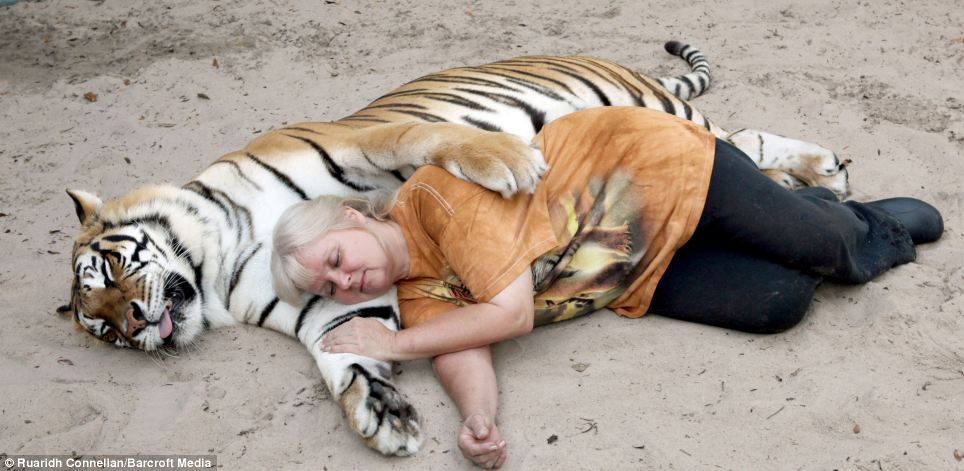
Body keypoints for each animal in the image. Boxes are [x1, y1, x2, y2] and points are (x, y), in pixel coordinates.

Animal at [60, 41, 848, 458]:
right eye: (101, 325)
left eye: (112, 267)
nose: (135, 324)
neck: (221, 262)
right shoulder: (324, 304)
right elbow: (341, 352)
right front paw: (377, 413)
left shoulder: (365, 143)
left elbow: (428, 138)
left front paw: (508, 163)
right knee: (746, 149)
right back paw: (820, 178)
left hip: (658, 110)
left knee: (739, 139)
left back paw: (828, 168)